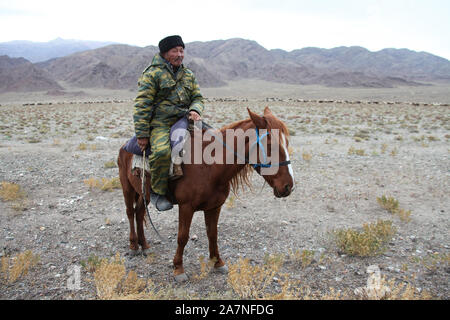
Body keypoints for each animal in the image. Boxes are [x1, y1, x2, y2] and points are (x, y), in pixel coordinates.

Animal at [118, 106, 294, 282]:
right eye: (270, 146)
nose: (288, 186)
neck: (210, 167)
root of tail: (125, 145)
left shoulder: (214, 207)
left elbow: (212, 234)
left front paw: (218, 262)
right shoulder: (186, 207)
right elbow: (182, 237)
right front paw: (178, 268)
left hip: (144, 194)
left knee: (139, 213)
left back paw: (145, 246)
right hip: (127, 188)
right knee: (130, 213)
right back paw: (133, 246)